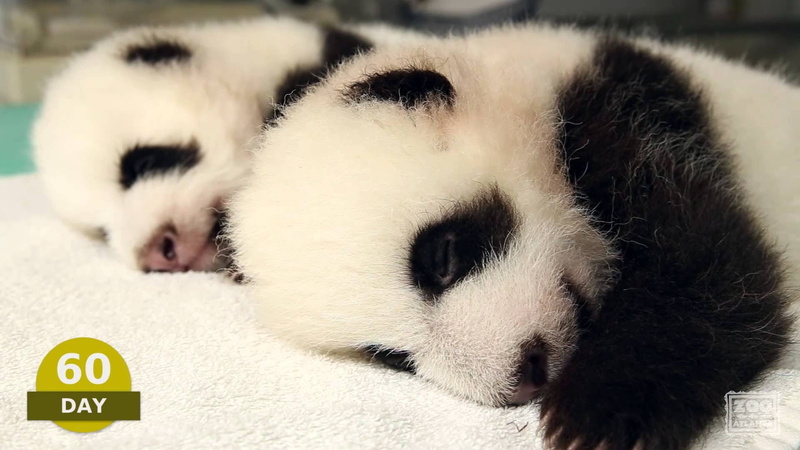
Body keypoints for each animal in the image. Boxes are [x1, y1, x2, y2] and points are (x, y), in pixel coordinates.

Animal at [229, 23, 799, 448]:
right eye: (391, 356)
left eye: (442, 257)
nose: (525, 373)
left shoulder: (633, 115)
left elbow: (717, 274)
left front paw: (598, 413)